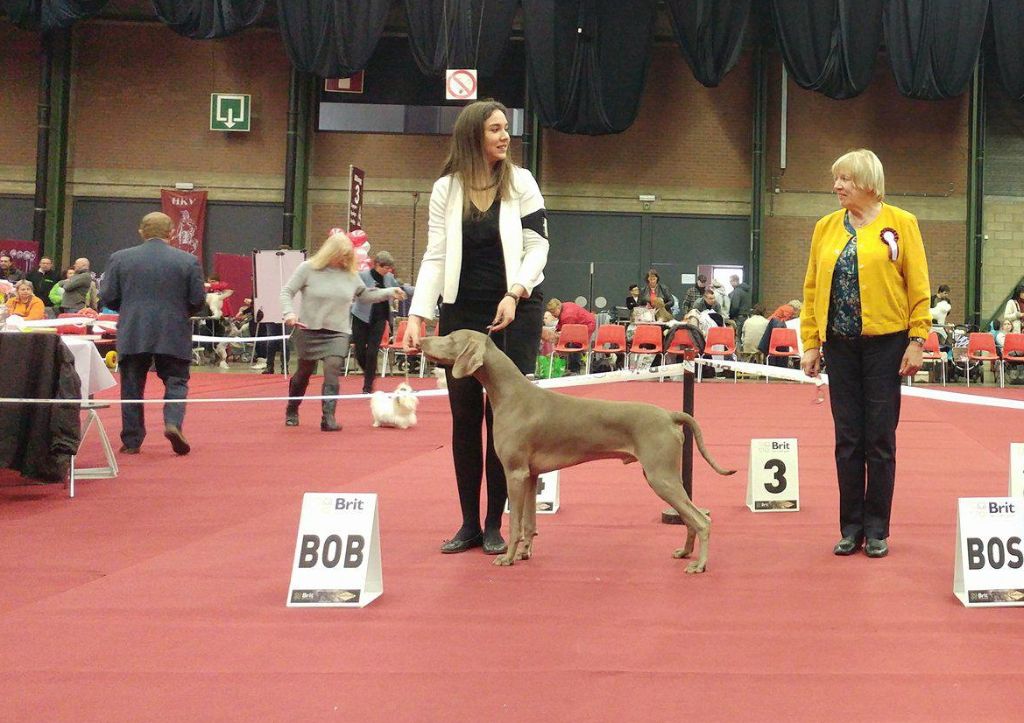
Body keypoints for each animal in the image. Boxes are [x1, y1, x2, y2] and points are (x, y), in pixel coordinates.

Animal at [417, 329, 737, 573]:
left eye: (450, 337)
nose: (421, 339)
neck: (511, 394)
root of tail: (671, 415)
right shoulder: (531, 476)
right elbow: (530, 522)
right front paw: (525, 553)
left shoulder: (515, 473)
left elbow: (516, 523)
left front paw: (507, 558)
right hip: (663, 477)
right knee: (690, 517)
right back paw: (685, 553)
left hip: (661, 477)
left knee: (702, 520)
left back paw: (699, 565)